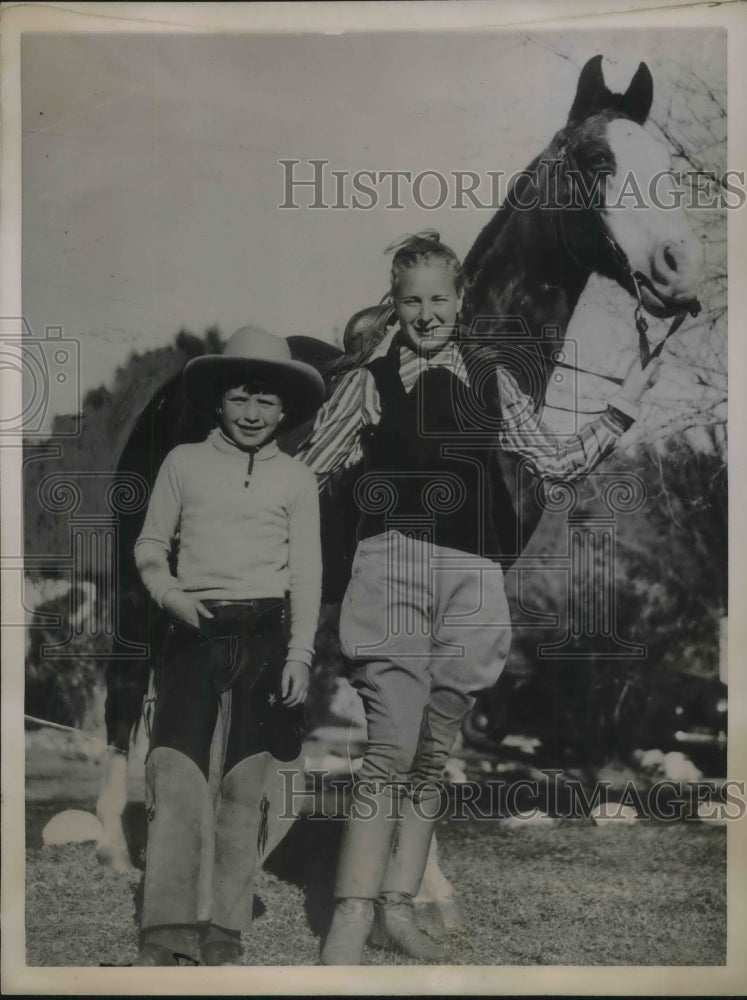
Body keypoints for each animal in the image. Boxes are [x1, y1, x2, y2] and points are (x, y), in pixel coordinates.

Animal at [92, 52, 700, 928]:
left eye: (665, 166)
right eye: (594, 161)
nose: (678, 274)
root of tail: (173, 389)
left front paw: (417, 890)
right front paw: (413, 888)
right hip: (139, 579)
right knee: (122, 687)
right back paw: (112, 845)